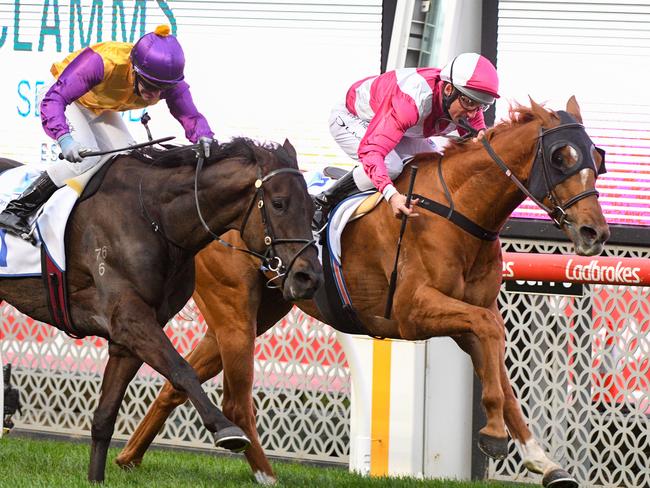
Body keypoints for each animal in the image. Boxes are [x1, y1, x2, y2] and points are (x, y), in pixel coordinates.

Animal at [0, 136, 322, 480]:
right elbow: (181, 369)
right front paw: (226, 430)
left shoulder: (127, 338)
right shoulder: (130, 319)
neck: (154, 218)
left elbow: (104, 417)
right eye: (279, 203)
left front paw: (96, 478)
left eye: (313, 207)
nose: (309, 277)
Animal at [116, 97, 608, 486]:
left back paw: (128, 458)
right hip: (234, 309)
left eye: (597, 156)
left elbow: (499, 369)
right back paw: (264, 474)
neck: (457, 211)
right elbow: (491, 338)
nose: (595, 232)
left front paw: (544, 462)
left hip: (256, 314)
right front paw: (492, 437)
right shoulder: (415, 312)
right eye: (561, 156)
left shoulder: (464, 315)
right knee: (235, 400)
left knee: (178, 382)